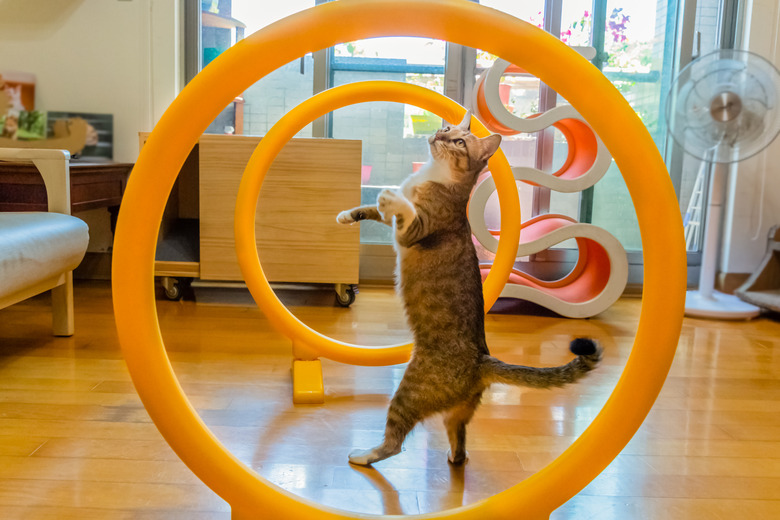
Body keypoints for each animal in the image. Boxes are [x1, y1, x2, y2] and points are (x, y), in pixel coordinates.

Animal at [336, 110, 604, 468]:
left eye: (460, 142)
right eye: (448, 128)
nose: (439, 135)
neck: (433, 175)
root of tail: (482, 361)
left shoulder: (412, 231)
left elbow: (401, 212)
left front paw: (391, 197)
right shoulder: (386, 216)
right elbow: (370, 208)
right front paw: (346, 214)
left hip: (409, 392)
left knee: (394, 443)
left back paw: (363, 455)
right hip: (457, 416)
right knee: (461, 445)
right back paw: (452, 458)